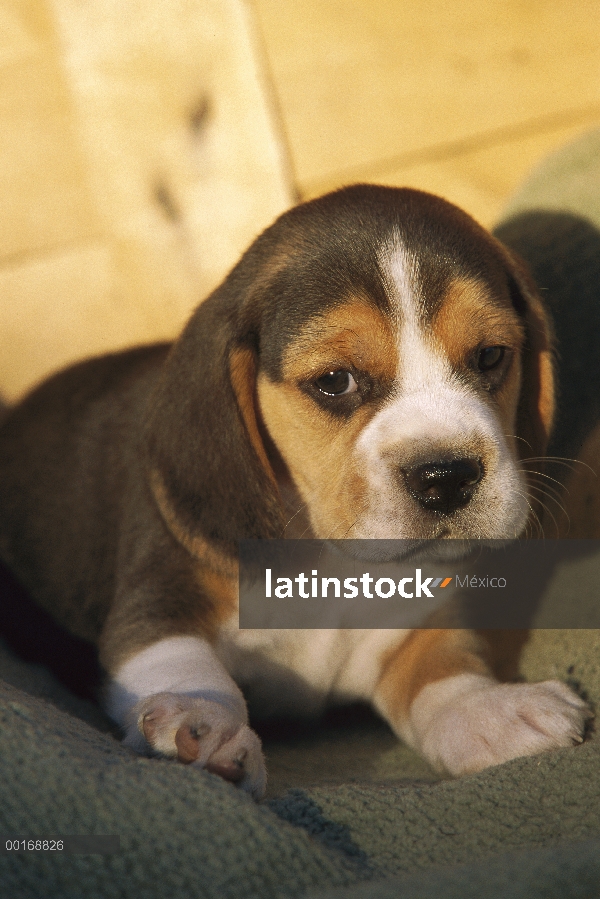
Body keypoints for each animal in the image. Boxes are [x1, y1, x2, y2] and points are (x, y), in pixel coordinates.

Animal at [0, 181, 592, 796]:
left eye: (491, 356)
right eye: (334, 381)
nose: (445, 477)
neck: (330, 556)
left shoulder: (407, 626)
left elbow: (446, 671)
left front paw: (492, 711)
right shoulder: (160, 601)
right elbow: (183, 665)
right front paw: (205, 724)